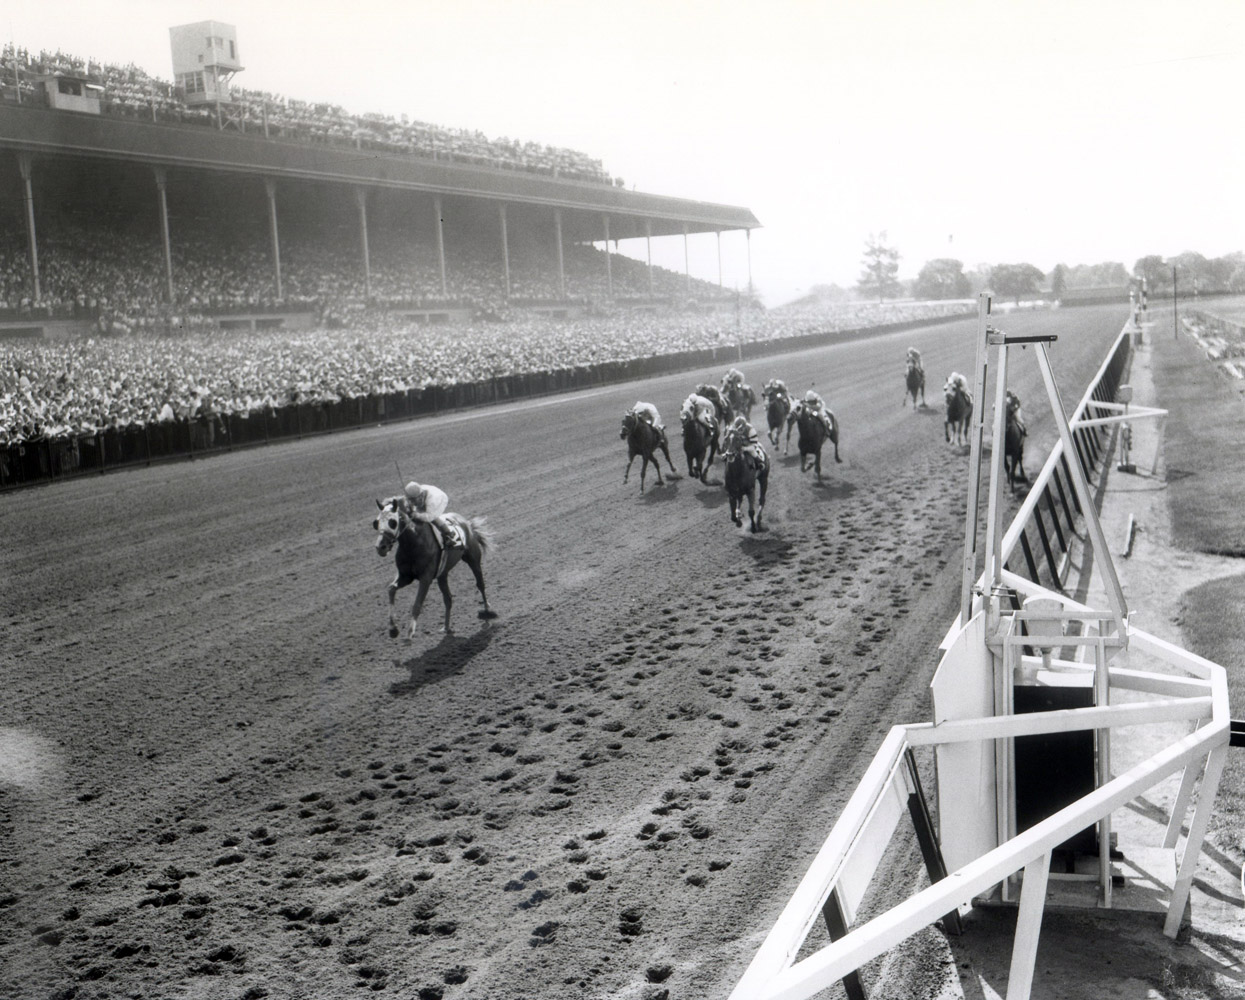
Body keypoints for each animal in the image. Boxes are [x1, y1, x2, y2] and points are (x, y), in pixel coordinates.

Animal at [371, 500, 493, 642]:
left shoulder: (425, 579)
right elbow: (391, 589)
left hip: (473, 559)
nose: (381, 547)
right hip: (442, 575)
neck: (413, 544)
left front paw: (409, 634)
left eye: (392, 521)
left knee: (480, 584)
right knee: (448, 598)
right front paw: (393, 630)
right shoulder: (405, 577)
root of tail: (467, 523)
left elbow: (417, 604)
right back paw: (446, 627)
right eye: (376, 522)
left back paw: (487, 610)